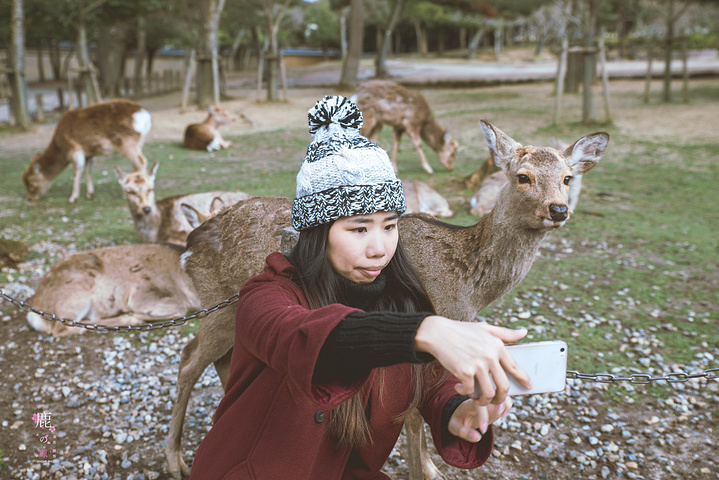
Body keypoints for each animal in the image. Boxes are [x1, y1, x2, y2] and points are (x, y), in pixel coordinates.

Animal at [22, 97, 152, 202]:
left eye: (32, 182)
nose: (30, 198)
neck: (61, 146)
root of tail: (144, 114)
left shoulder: (75, 149)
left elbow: (77, 170)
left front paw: (73, 198)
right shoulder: (89, 152)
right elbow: (88, 169)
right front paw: (90, 194)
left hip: (126, 142)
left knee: (141, 161)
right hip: (139, 143)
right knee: (137, 163)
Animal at [25, 246, 200, 336]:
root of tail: (35, 307)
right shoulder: (141, 294)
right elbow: (180, 309)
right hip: (75, 295)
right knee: (63, 327)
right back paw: (129, 319)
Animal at [163, 120, 608, 480]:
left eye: (568, 177)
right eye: (522, 177)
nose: (559, 209)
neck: (465, 284)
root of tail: (189, 246)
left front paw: (433, 462)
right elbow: (411, 415)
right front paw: (425, 470)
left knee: (221, 361)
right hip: (219, 305)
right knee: (188, 359)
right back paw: (176, 460)